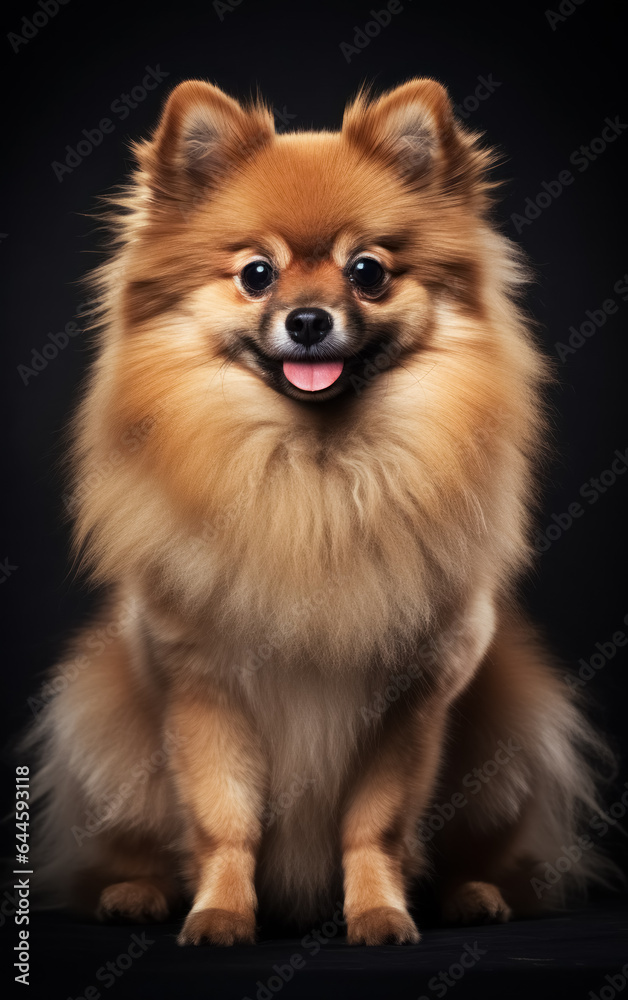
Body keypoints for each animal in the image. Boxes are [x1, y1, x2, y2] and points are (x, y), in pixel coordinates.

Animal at [29, 78, 612, 944]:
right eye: (257, 274)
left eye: (367, 271)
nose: (308, 320)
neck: (315, 474)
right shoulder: (203, 686)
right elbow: (225, 817)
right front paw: (219, 914)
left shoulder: (412, 698)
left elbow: (372, 824)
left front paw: (378, 912)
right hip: (105, 730)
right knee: (126, 846)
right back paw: (134, 892)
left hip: (509, 736)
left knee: (488, 853)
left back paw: (474, 895)